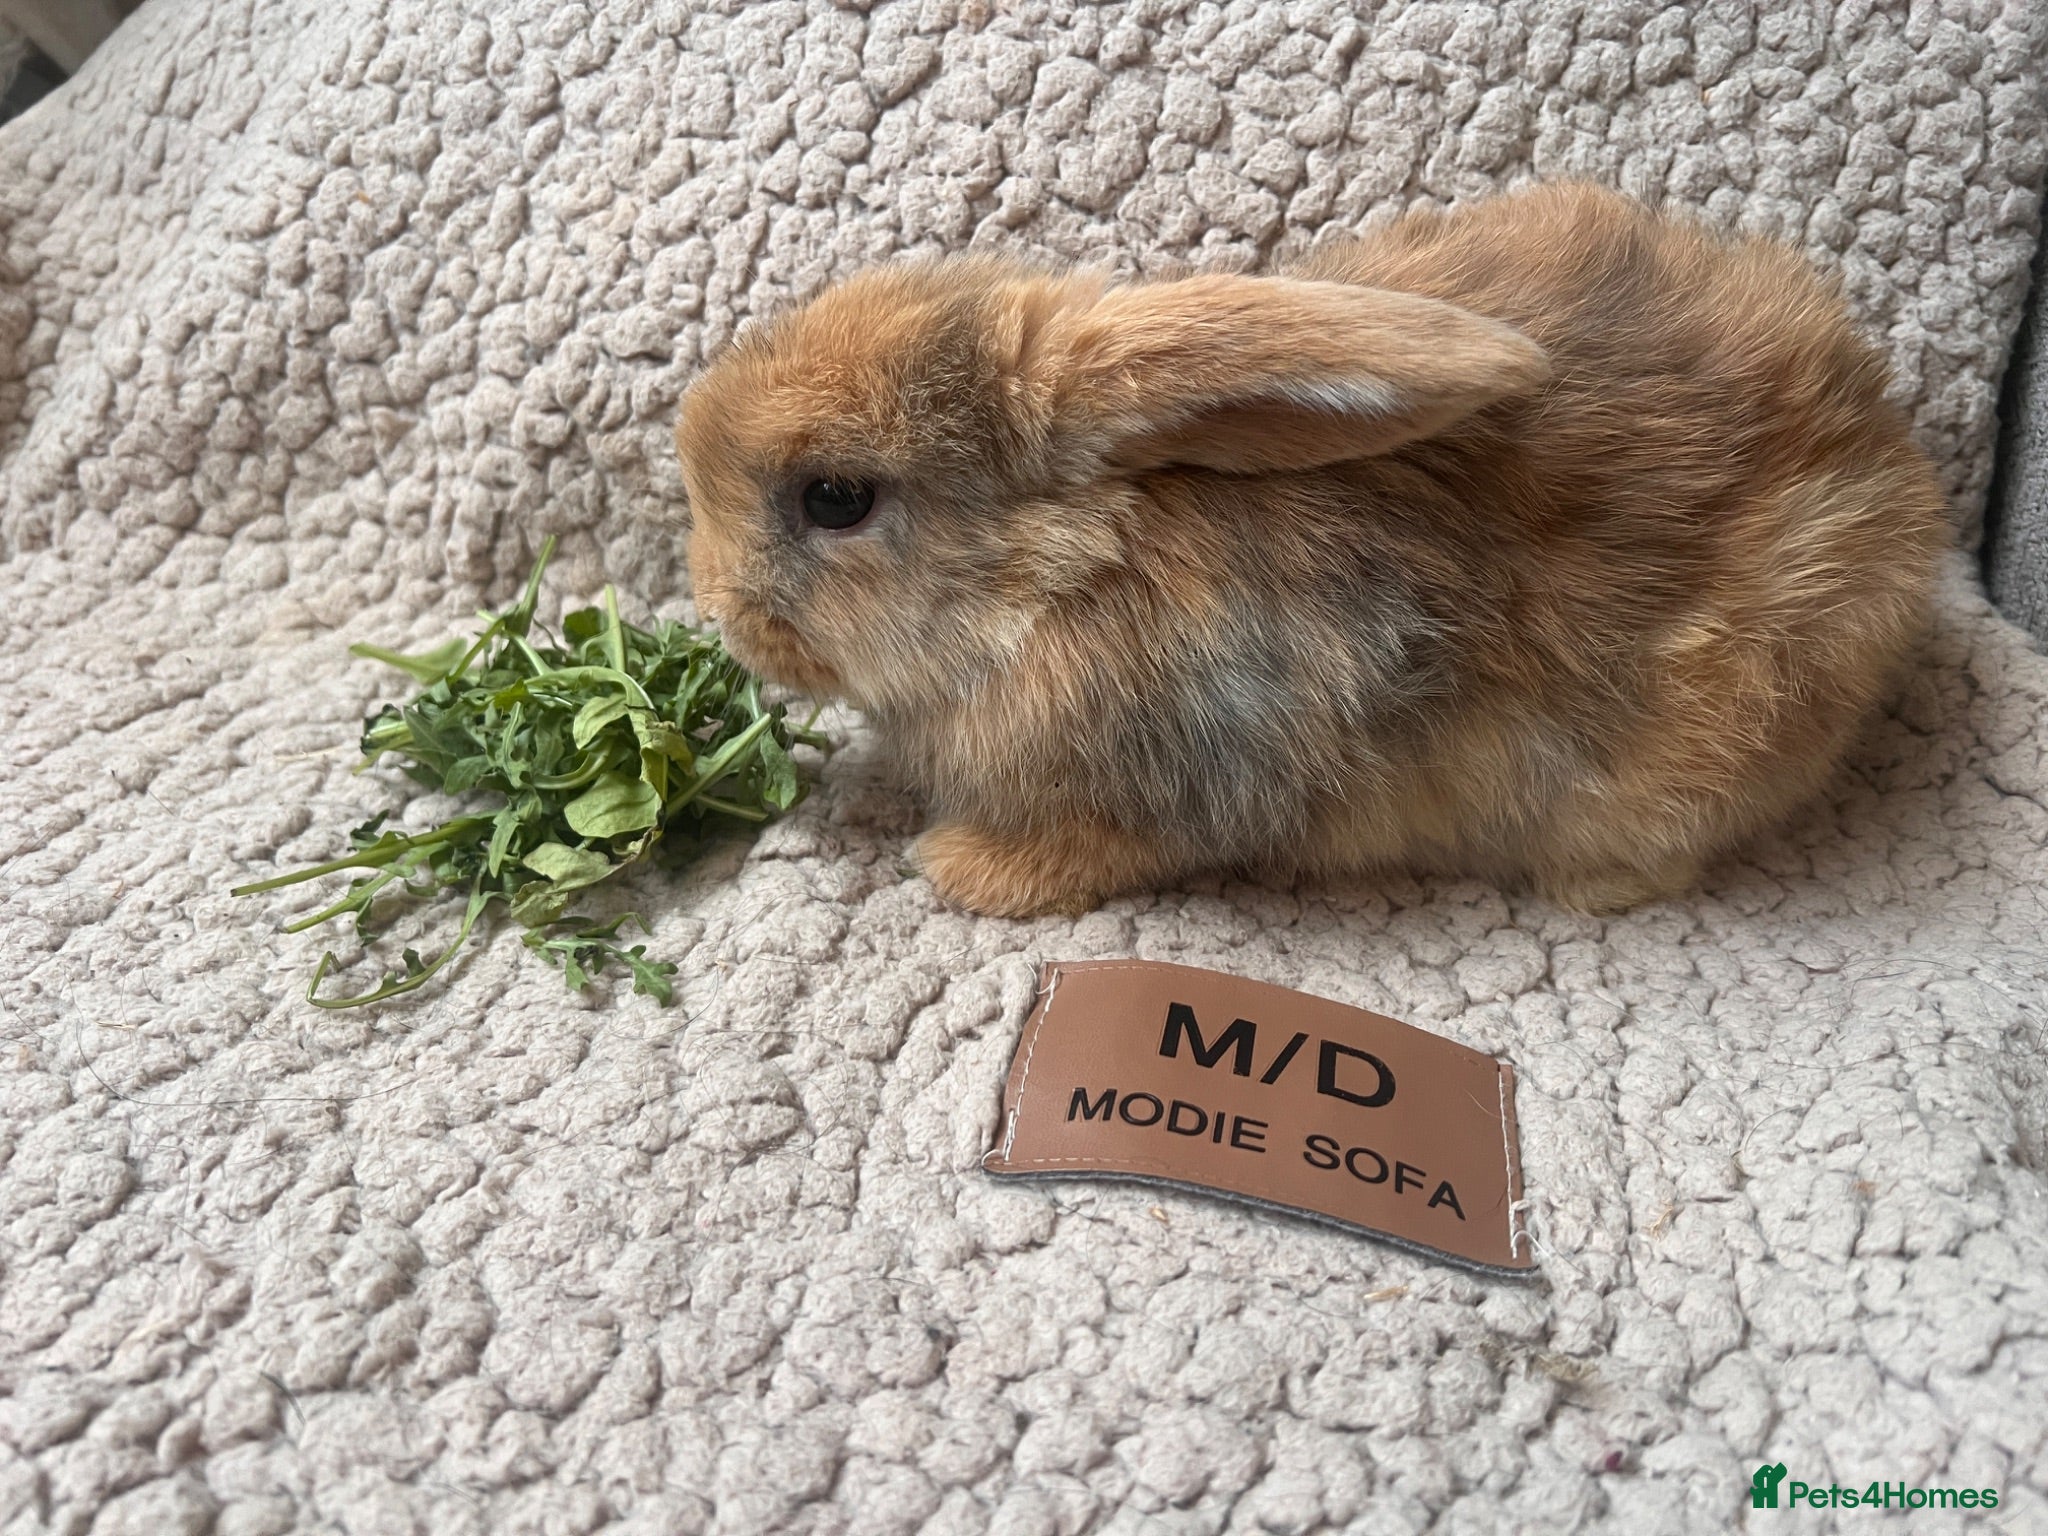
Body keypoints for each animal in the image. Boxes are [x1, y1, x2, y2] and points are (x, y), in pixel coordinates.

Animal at [675, 180, 1947, 919]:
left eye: (834, 498)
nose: (720, 611)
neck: (1063, 581)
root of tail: (1889, 457)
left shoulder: (1183, 781)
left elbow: (1097, 850)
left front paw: (959, 872)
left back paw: (1590, 887)